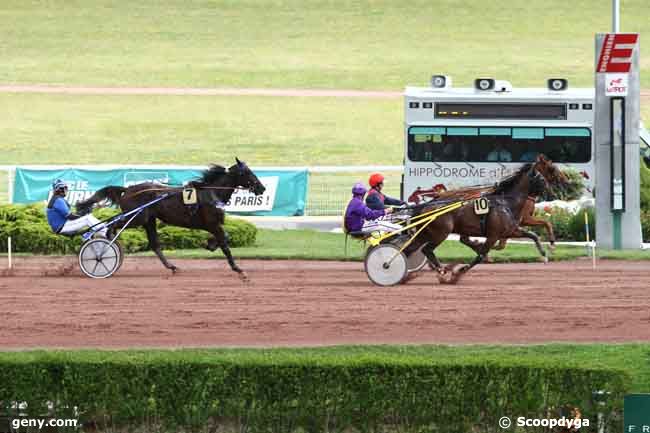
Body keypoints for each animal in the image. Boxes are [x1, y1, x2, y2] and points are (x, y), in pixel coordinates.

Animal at [77, 158, 264, 276]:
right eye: (247, 172)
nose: (261, 188)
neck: (212, 192)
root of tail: (127, 189)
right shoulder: (212, 224)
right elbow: (225, 245)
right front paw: (238, 269)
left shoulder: (213, 225)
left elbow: (225, 237)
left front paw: (210, 244)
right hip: (138, 218)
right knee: (112, 226)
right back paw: (105, 249)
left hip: (149, 221)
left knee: (154, 245)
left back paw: (171, 266)